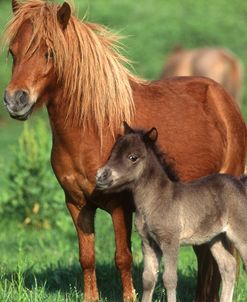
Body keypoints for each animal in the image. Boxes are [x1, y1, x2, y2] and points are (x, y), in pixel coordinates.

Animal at [95, 121, 247, 300]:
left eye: (133, 157)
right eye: (112, 153)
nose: (100, 176)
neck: (155, 200)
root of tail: (240, 184)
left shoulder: (170, 241)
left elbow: (169, 279)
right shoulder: (148, 242)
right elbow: (148, 279)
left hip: (240, 234)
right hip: (215, 238)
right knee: (228, 266)